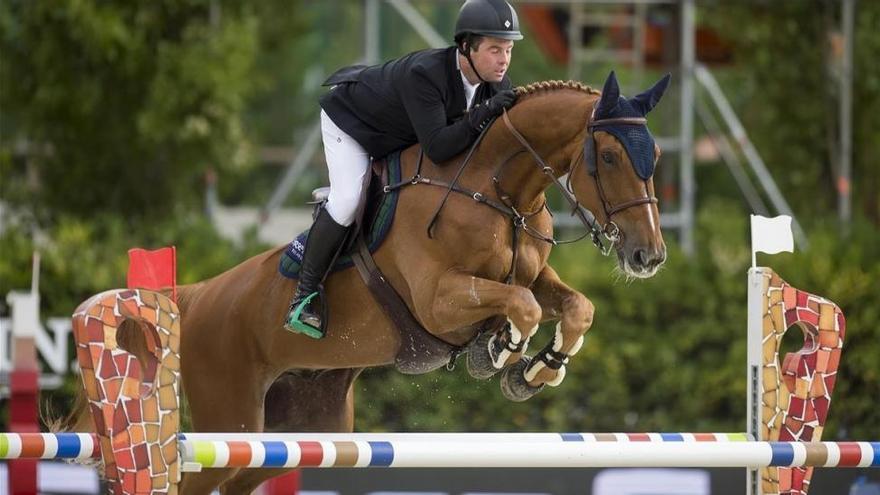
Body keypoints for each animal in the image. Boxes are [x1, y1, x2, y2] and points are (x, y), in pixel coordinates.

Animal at [60, 71, 668, 494]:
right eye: (608, 156)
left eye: (656, 155)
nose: (649, 256)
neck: (496, 187)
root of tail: (192, 295)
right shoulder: (439, 300)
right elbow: (521, 306)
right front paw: (498, 352)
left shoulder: (536, 273)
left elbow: (574, 306)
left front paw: (537, 370)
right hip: (227, 418)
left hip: (293, 432)